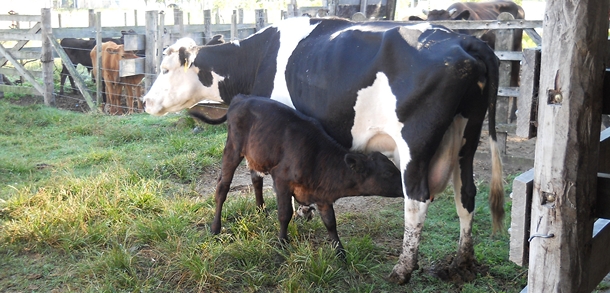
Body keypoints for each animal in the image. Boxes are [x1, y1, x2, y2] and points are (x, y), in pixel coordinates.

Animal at [141, 16, 504, 282]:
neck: (256, 59)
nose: (144, 101)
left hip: (414, 145)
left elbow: (265, 178)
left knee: (416, 199)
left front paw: (292, 215)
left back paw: (402, 270)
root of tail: (466, 39)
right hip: (468, 135)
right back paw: (462, 262)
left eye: (165, 70)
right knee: (466, 193)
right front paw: (304, 212)